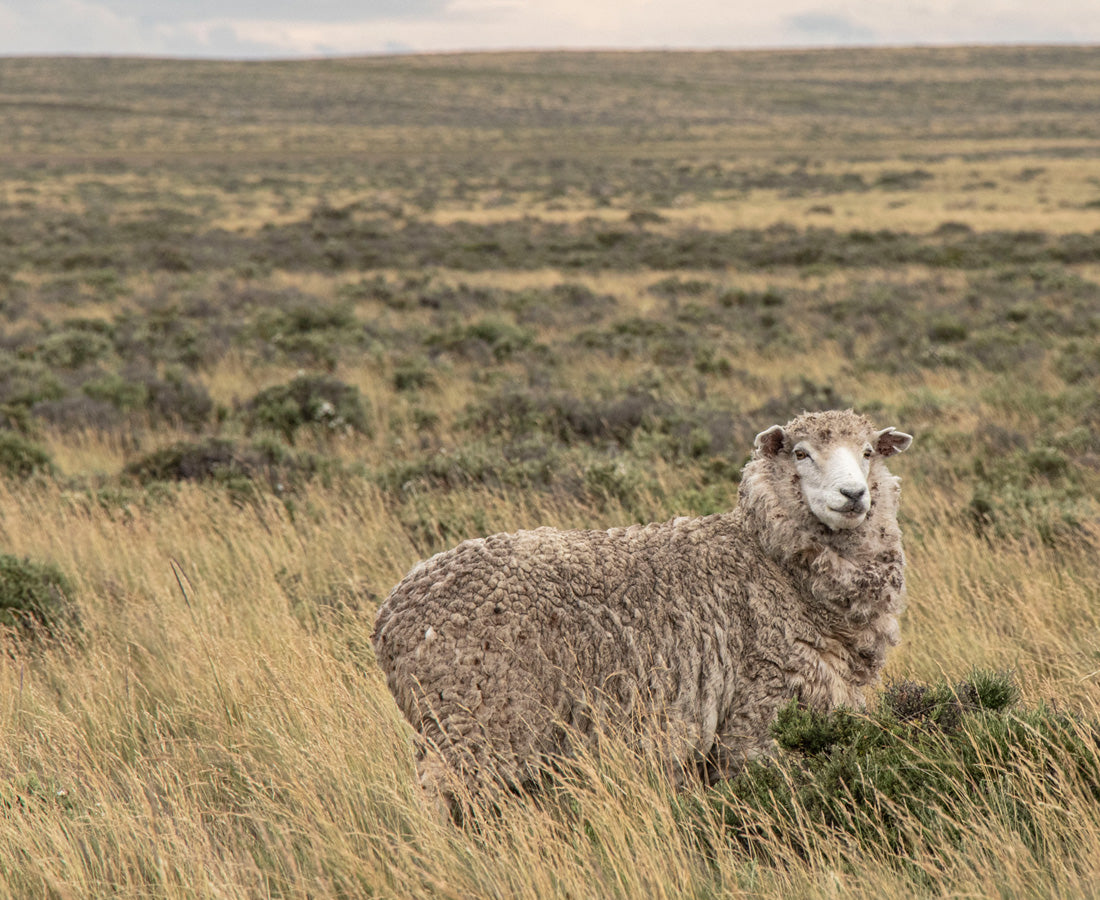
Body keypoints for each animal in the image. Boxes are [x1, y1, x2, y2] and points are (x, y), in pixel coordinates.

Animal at [374, 407, 915, 805]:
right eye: (801, 453)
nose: (853, 494)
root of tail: (391, 616)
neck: (768, 558)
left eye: (868, 452)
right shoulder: (759, 711)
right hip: (478, 724)